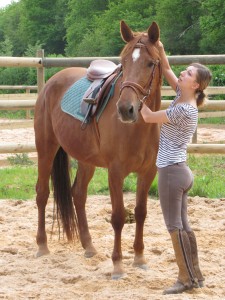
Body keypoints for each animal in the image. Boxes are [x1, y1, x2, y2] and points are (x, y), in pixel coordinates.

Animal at [33, 20, 162, 278]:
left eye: (150, 63)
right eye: (123, 63)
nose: (125, 109)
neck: (140, 128)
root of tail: (52, 81)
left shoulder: (148, 172)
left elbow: (141, 212)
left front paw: (139, 258)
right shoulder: (115, 172)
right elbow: (119, 216)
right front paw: (118, 264)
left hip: (86, 160)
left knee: (78, 194)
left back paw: (89, 246)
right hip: (46, 148)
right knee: (42, 193)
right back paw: (42, 245)